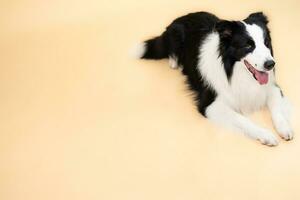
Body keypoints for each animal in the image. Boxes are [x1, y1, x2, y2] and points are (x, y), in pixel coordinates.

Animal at [134, 11, 292, 146]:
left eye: (266, 43)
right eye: (248, 45)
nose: (271, 64)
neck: (234, 72)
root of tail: (181, 17)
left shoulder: (272, 87)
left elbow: (277, 109)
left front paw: (284, 128)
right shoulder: (210, 105)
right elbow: (242, 119)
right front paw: (266, 134)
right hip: (175, 35)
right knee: (171, 52)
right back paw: (175, 63)